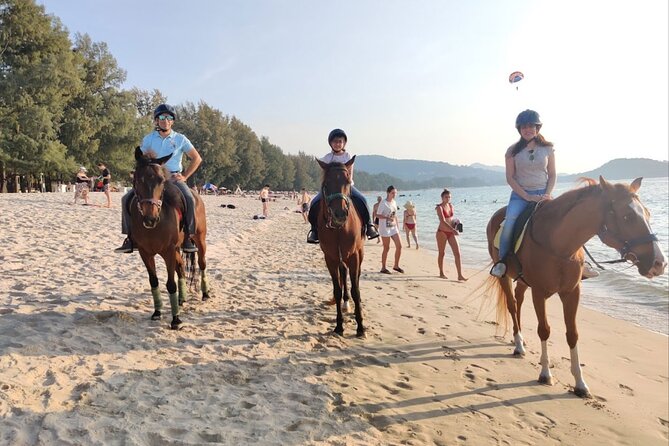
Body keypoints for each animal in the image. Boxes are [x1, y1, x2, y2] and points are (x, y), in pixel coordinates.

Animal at [127, 148, 206, 330]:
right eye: (138, 179)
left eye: (161, 180)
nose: (150, 219)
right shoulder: (145, 253)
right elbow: (154, 281)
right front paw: (157, 312)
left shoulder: (168, 251)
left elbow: (170, 284)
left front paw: (176, 319)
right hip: (177, 249)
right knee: (181, 268)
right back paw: (181, 298)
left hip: (200, 240)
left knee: (202, 264)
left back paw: (205, 293)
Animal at [314, 159, 366, 336]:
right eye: (326, 184)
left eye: (348, 181)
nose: (340, 214)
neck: (338, 229)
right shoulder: (330, 258)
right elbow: (336, 291)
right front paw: (339, 326)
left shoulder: (354, 256)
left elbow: (356, 290)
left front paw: (360, 327)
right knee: (343, 274)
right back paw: (345, 302)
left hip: (359, 254)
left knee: (356, 278)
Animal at [486, 177, 664, 398]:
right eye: (627, 216)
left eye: (647, 213)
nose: (659, 263)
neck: (559, 245)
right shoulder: (539, 293)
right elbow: (544, 330)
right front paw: (545, 374)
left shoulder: (571, 293)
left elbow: (573, 334)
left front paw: (580, 383)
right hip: (505, 277)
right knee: (511, 304)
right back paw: (518, 344)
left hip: (522, 281)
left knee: (518, 300)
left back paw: (520, 341)